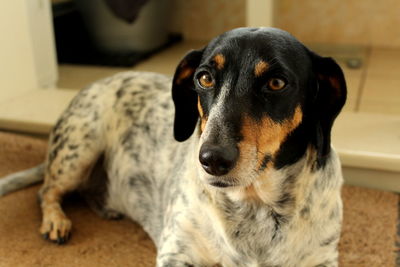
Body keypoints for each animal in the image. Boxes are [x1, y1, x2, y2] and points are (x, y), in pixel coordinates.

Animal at [0, 28, 346, 266]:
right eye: (204, 78)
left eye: (276, 83)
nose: (211, 159)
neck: (255, 204)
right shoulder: (177, 253)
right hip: (79, 149)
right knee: (46, 192)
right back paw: (56, 221)